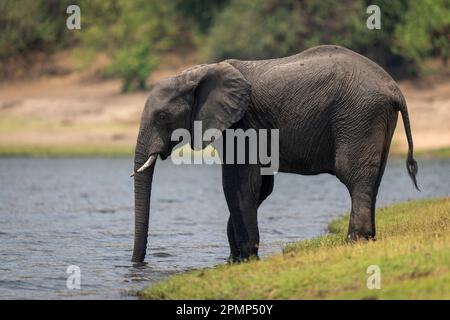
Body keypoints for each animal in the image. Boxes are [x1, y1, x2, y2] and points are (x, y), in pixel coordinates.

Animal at [130, 45, 418, 264]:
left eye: (162, 116)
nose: (136, 264)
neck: (199, 71)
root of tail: (394, 88)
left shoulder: (241, 122)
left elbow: (238, 183)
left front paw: (246, 258)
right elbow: (262, 186)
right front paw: (235, 259)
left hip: (359, 116)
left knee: (353, 175)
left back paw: (354, 241)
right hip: (374, 118)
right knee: (373, 177)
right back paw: (368, 239)